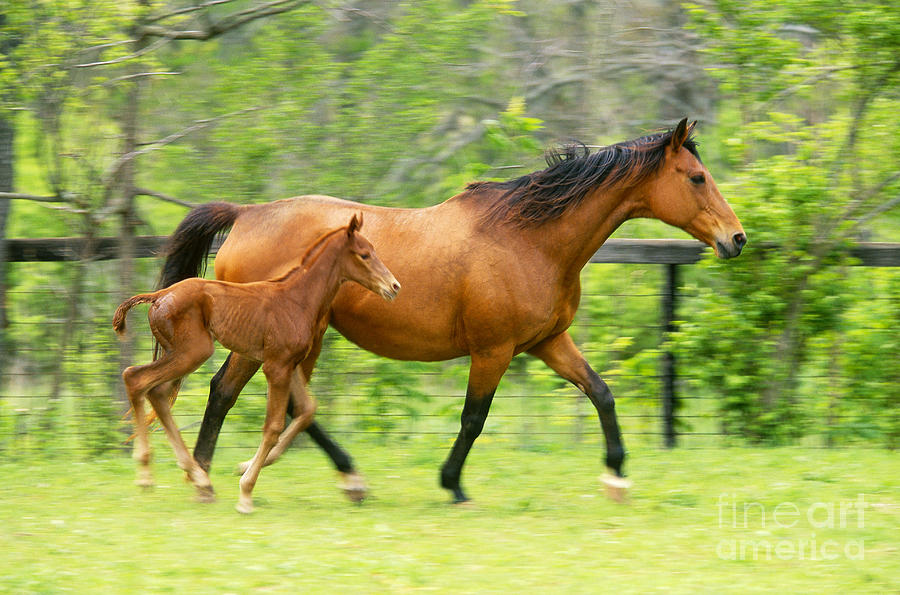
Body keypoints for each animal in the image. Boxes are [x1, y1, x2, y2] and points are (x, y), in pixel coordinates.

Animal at [111, 214, 398, 512]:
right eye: (364, 254)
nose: (394, 287)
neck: (297, 298)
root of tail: (158, 297)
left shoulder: (290, 364)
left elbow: (307, 410)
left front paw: (247, 468)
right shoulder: (276, 367)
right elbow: (272, 426)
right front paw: (246, 493)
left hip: (179, 353)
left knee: (155, 391)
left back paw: (198, 478)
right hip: (193, 351)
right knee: (136, 378)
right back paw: (149, 475)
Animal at [160, 120, 744, 502]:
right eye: (696, 177)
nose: (736, 239)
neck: (530, 239)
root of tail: (246, 214)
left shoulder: (548, 342)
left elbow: (601, 393)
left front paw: (616, 476)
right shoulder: (493, 350)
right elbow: (473, 419)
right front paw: (453, 484)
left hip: (304, 337)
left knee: (289, 405)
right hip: (275, 338)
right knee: (229, 392)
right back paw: (211, 474)